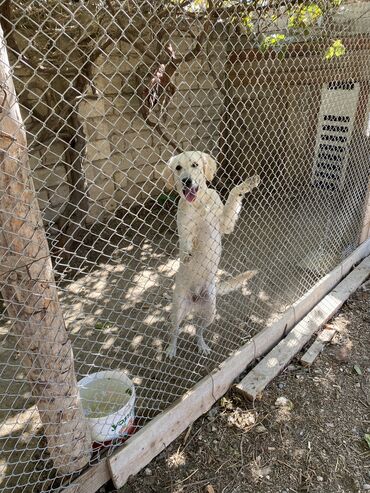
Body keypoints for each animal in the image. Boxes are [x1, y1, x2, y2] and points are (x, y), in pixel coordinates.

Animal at [163, 150, 258, 358]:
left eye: (195, 165)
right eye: (178, 168)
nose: (186, 181)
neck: (199, 203)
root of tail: (194, 302)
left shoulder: (225, 224)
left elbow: (233, 194)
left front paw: (246, 184)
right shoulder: (184, 227)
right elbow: (186, 241)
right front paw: (187, 253)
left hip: (210, 312)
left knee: (198, 330)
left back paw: (202, 345)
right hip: (177, 310)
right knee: (175, 332)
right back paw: (171, 349)